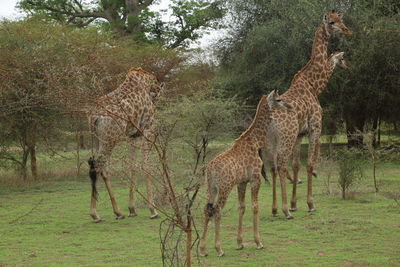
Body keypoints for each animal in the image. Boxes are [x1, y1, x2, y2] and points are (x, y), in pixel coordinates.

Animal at [87, 68, 162, 223]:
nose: (159, 91)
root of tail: (94, 117)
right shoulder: (147, 129)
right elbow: (145, 164)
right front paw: (153, 210)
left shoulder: (132, 135)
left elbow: (132, 166)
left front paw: (132, 209)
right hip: (110, 139)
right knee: (98, 165)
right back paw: (96, 214)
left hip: (97, 139)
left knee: (100, 167)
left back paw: (118, 213)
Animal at [199, 90, 290, 258]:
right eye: (279, 99)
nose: (290, 107)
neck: (255, 141)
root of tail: (210, 170)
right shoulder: (255, 178)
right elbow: (255, 206)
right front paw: (258, 242)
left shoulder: (242, 182)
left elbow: (241, 207)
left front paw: (239, 243)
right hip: (225, 187)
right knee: (217, 210)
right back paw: (219, 249)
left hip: (210, 188)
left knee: (207, 210)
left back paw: (202, 250)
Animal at [266, 10, 350, 220]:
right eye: (332, 22)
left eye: (341, 19)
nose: (346, 30)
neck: (313, 86)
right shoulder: (315, 127)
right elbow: (310, 164)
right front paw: (310, 204)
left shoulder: (300, 134)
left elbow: (297, 165)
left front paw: (295, 203)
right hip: (286, 137)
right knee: (281, 165)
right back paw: (285, 211)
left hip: (271, 140)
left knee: (273, 166)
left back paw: (275, 209)